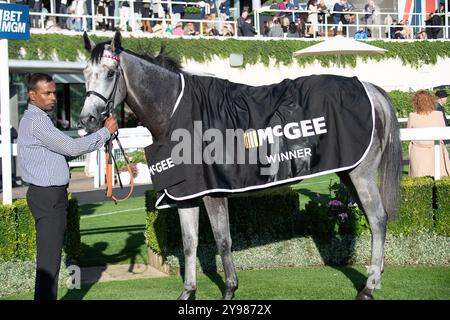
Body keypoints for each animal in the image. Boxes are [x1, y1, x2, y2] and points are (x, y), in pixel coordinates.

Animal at [79, 31, 402, 302]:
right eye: (85, 74)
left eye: (110, 73)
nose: (87, 120)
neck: (176, 112)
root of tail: (369, 88)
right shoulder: (186, 194)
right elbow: (189, 243)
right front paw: (188, 292)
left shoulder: (213, 193)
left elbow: (223, 241)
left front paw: (229, 290)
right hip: (348, 173)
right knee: (372, 219)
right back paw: (377, 274)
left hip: (361, 174)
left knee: (378, 219)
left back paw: (369, 287)